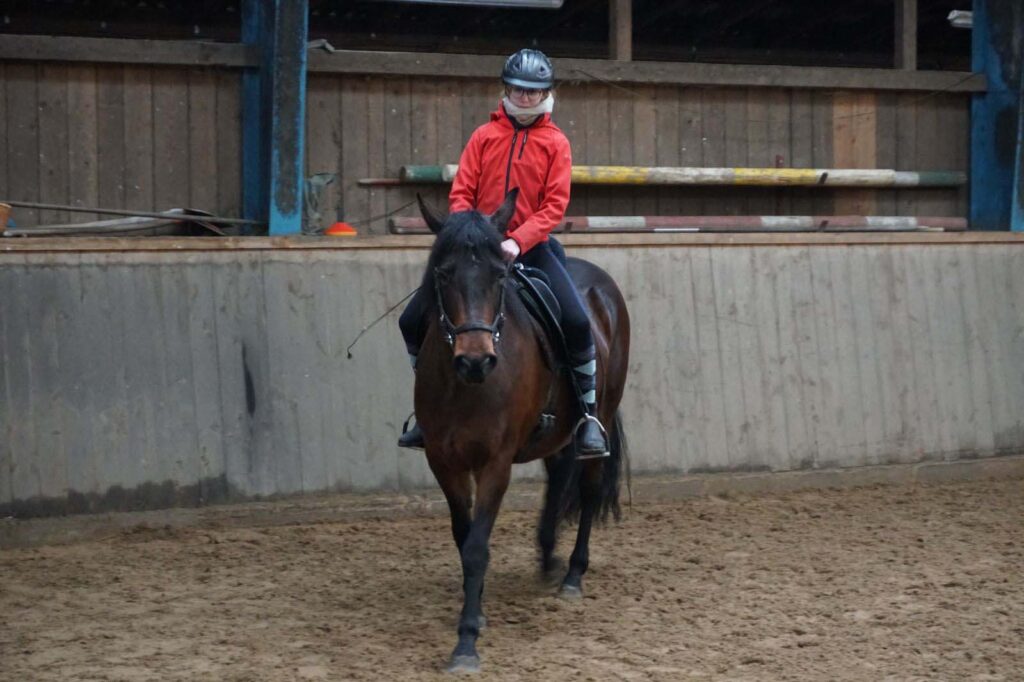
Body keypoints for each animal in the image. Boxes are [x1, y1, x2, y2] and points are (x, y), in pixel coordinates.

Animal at [411, 188, 626, 671]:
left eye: (499, 275)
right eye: (444, 274)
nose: (475, 361)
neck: (465, 386)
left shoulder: (496, 463)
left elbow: (476, 546)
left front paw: (467, 642)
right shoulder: (442, 461)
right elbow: (464, 537)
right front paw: (477, 610)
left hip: (601, 412)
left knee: (587, 489)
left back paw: (572, 575)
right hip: (556, 431)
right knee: (560, 473)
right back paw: (546, 556)